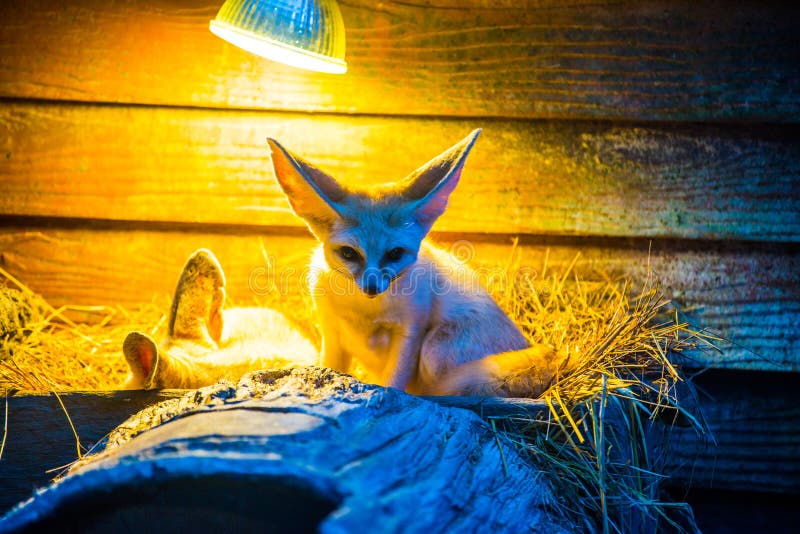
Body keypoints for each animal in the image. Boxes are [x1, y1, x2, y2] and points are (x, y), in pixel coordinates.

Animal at [267, 129, 571, 397]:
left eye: (394, 253)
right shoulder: (331, 332)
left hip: (434, 349)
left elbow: (393, 383)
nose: (372, 287)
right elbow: (329, 368)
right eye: (349, 254)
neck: (367, 311)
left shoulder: (411, 331)